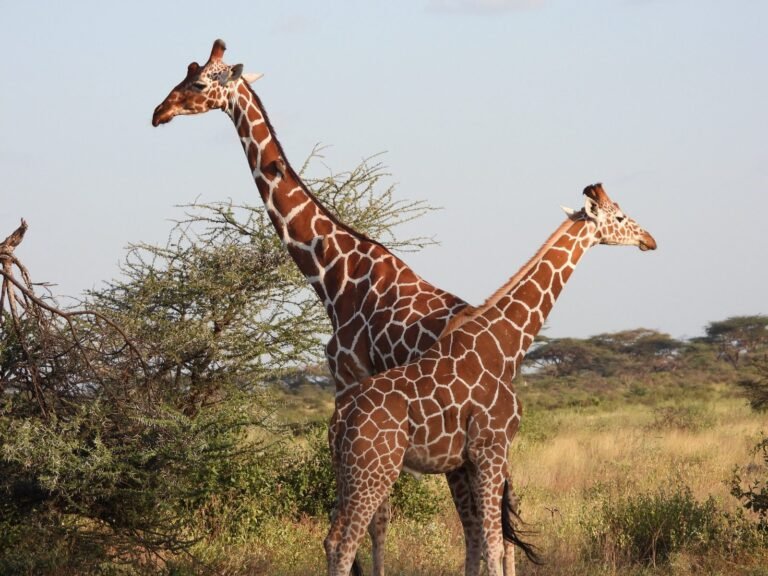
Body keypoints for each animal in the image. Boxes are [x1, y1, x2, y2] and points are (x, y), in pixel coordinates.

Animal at [151, 39, 527, 575]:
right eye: (185, 73)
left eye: (199, 82)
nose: (158, 112)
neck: (331, 274)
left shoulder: (349, 376)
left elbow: (377, 516)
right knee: (498, 515)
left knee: (483, 515)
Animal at [325, 183, 657, 576]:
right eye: (620, 217)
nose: (650, 240)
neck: (506, 343)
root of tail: (340, 420)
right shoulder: (492, 448)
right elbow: (494, 543)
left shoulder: (471, 458)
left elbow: (482, 540)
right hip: (374, 470)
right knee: (346, 543)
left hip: (346, 473)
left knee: (332, 539)